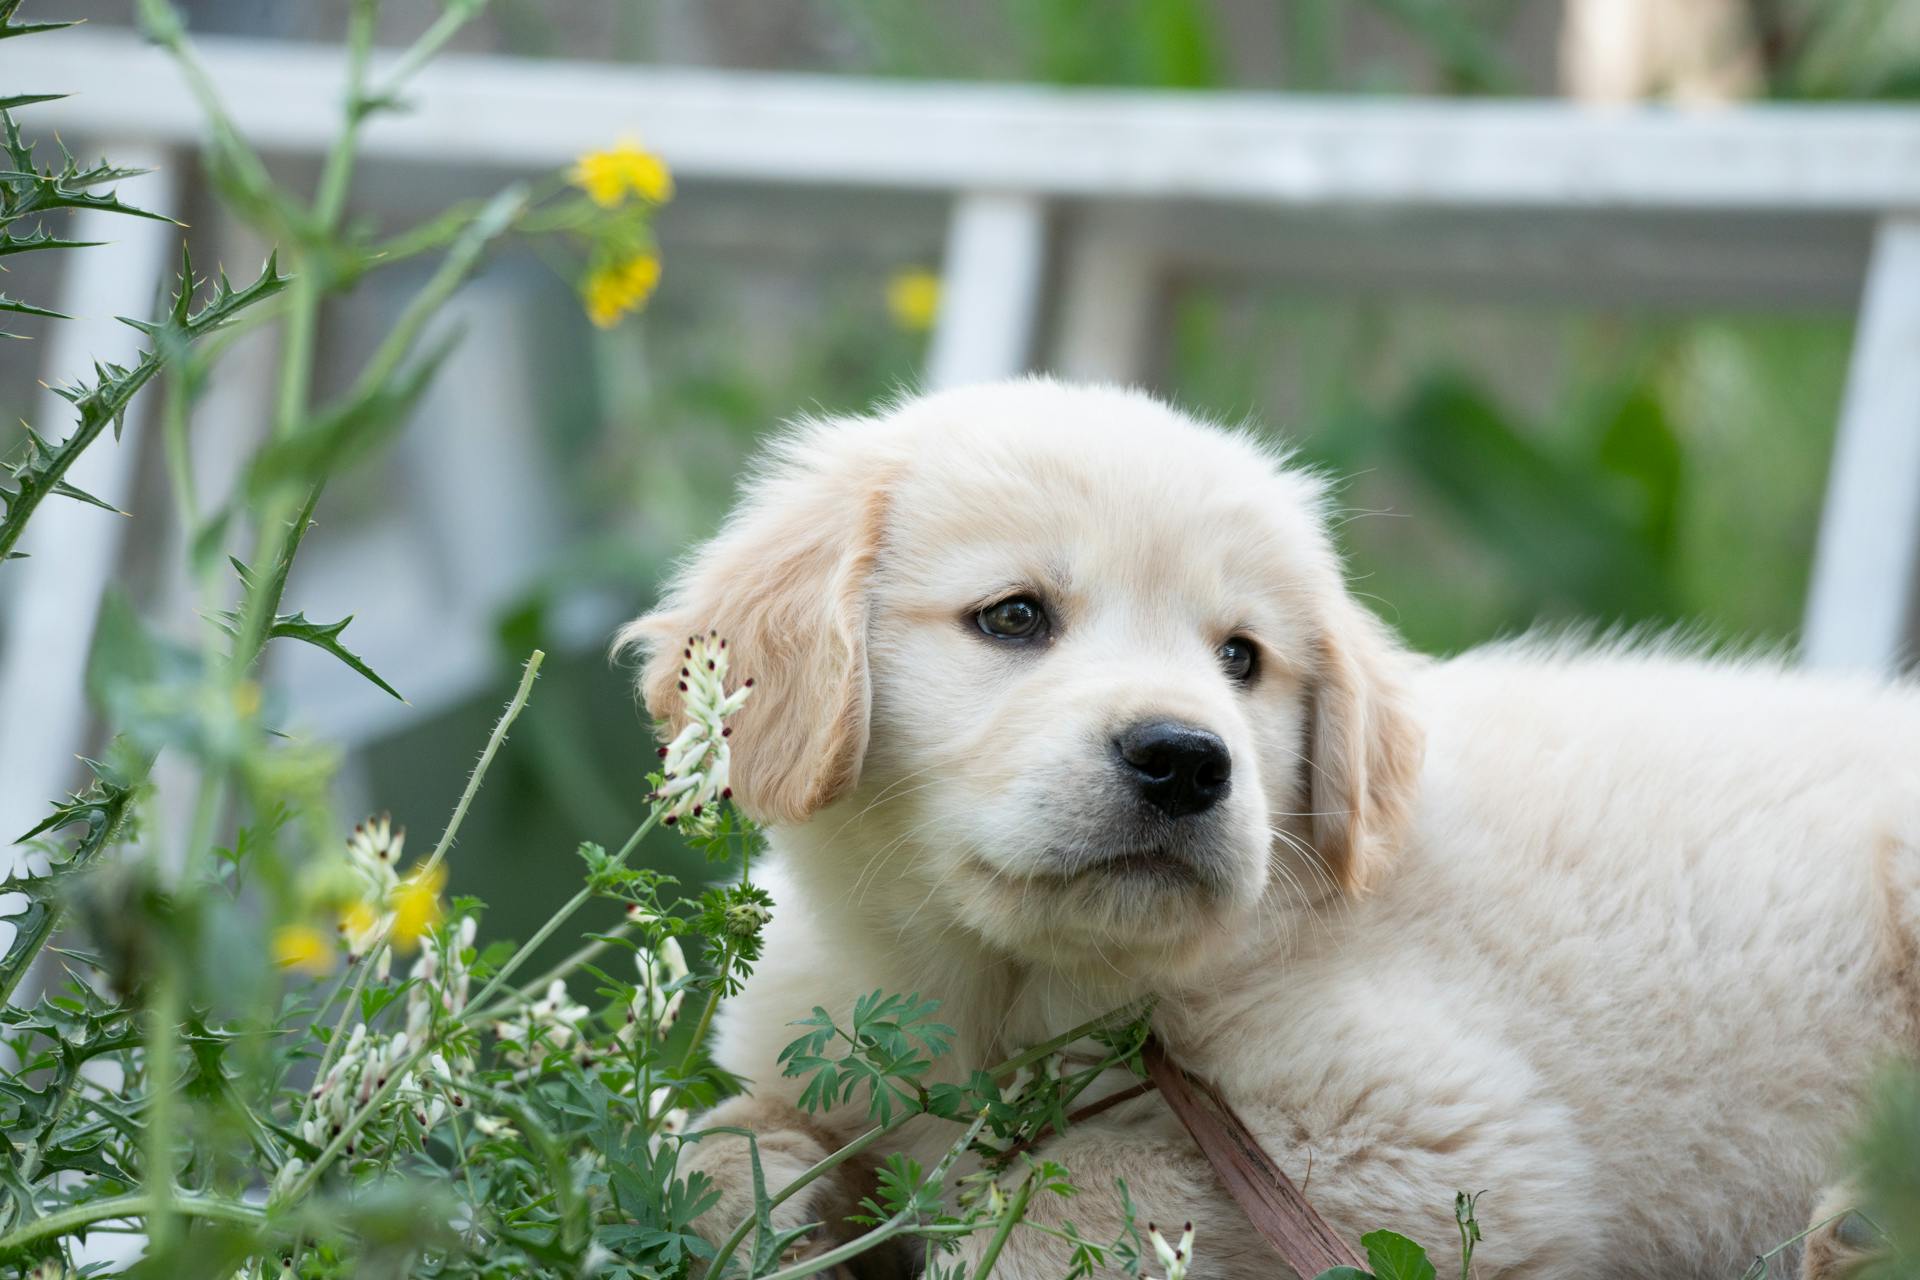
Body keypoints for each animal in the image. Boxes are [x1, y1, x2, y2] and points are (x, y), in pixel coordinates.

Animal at [622, 379, 1912, 1280]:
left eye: (1241, 656)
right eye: (1014, 616)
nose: (1186, 759)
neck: (1011, 992)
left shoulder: (1443, 1135)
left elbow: (1083, 1176)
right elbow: (712, 1140)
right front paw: (740, 1193)